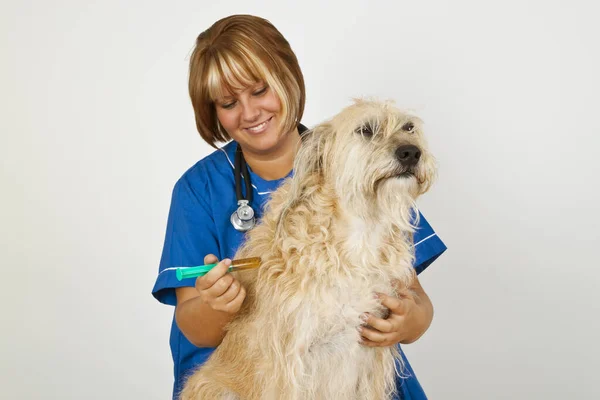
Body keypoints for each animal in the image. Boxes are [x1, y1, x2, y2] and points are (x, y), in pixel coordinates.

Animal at [178, 98, 436, 398]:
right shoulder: (288, 363)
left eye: (409, 128)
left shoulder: (371, 358)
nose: (411, 153)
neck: (357, 235)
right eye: (366, 130)